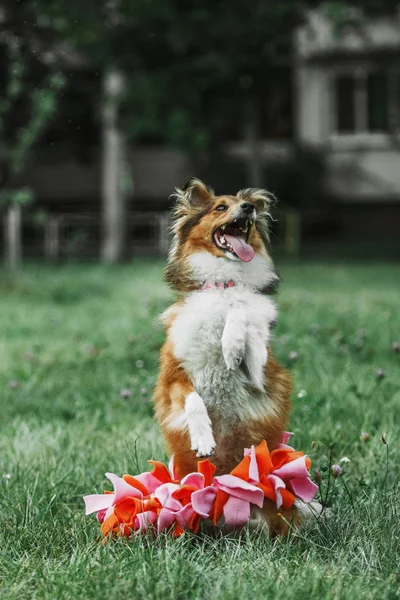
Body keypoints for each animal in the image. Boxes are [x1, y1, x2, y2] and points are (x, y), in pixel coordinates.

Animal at [153, 178, 310, 536]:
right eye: (220, 208)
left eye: (246, 206)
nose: (249, 208)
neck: (224, 283)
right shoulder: (173, 378)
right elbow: (193, 400)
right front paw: (203, 438)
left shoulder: (259, 374)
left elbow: (241, 310)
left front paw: (232, 343)